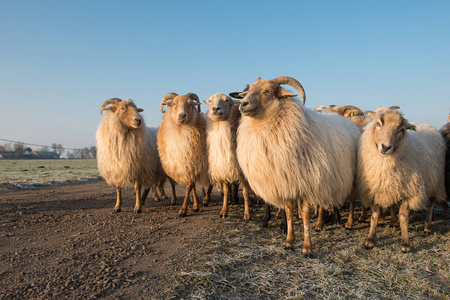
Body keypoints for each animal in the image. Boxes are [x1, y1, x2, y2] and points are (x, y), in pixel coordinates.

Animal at [237, 76, 360, 256]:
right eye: (250, 88)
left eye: (269, 91)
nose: (243, 104)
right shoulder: (287, 182)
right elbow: (289, 212)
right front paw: (289, 241)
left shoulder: (308, 183)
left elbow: (305, 214)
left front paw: (307, 247)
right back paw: (324, 222)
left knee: (349, 201)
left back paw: (346, 223)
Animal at [356, 109, 446, 252]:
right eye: (379, 123)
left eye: (401, 129)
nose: (385, 147)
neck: (384, 163)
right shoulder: (374, 190)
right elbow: (375, 215)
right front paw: (370, 240)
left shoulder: (409, 192)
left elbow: (404, 218)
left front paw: (405, 243)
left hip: (435, 182)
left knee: (431, 204)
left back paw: (427, 227)